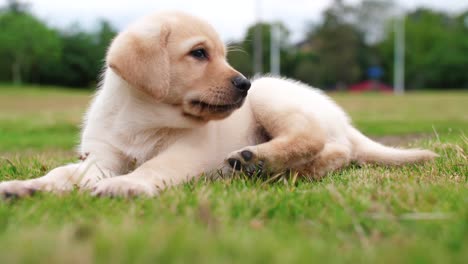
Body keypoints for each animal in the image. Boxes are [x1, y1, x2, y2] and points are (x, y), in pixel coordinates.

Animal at [0, 11, 438, 197]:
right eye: (199, 53)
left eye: (224, 56)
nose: (243, 83)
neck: (144, 119)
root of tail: (344, 121)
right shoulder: (103, 157)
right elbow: (64, 173)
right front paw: (29, 185)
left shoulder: (190, 150)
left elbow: (157, 166)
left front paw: (128, 185)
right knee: (337, 151)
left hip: (273, 97)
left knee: (324, 144)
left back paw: (260, 160)